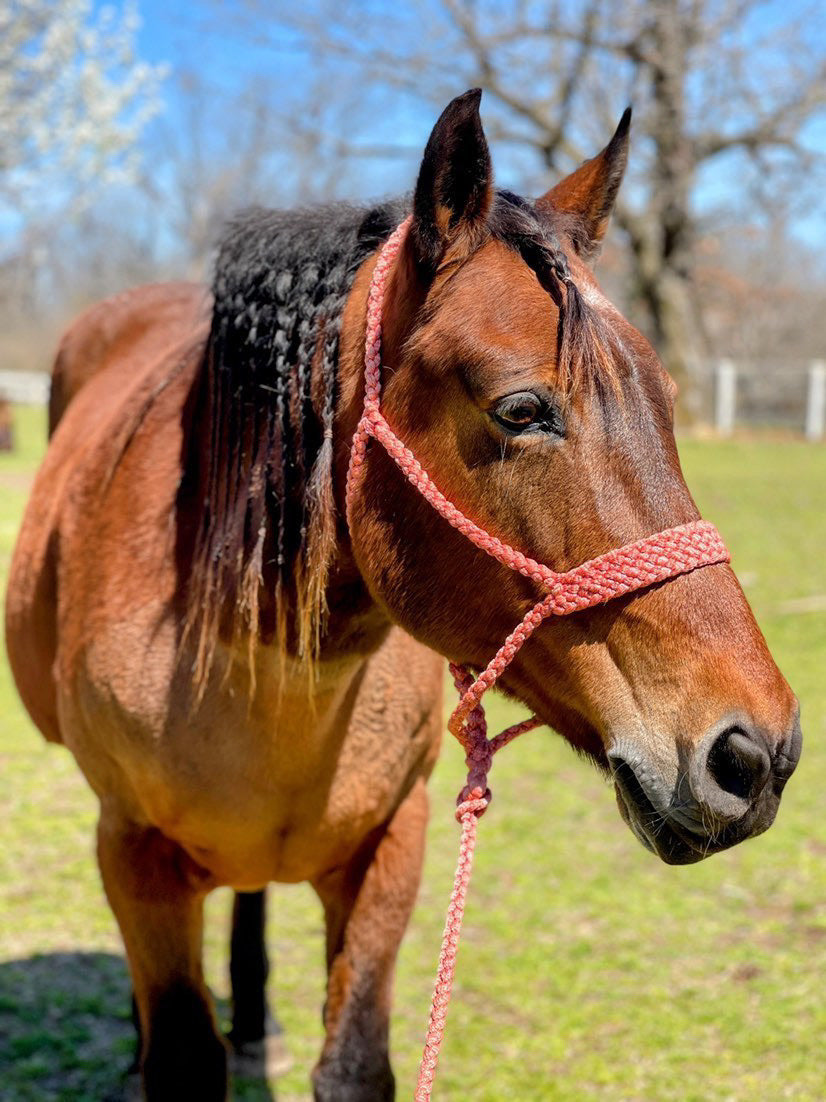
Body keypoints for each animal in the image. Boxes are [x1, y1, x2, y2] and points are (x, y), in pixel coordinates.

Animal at [1, 88, 801, 1102]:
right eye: (521, 410)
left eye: (664, 400)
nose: (757, 754)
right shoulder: (133, 854)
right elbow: (181, 1054)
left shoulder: (395, 844)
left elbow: (353, 1063)